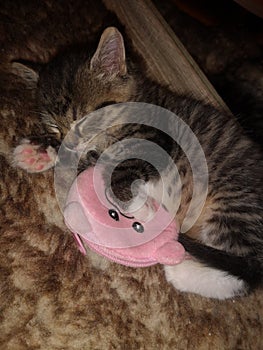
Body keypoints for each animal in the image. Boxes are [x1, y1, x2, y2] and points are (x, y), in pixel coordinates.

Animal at [13, 26, 263, 298]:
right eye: (54, 128)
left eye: (82, 121)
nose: (69, 142)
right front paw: (37, 151)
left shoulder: (157, 140)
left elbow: (117, 168)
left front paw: (136, 205)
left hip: (234, 203)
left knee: (247, 273)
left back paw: (180, 271)